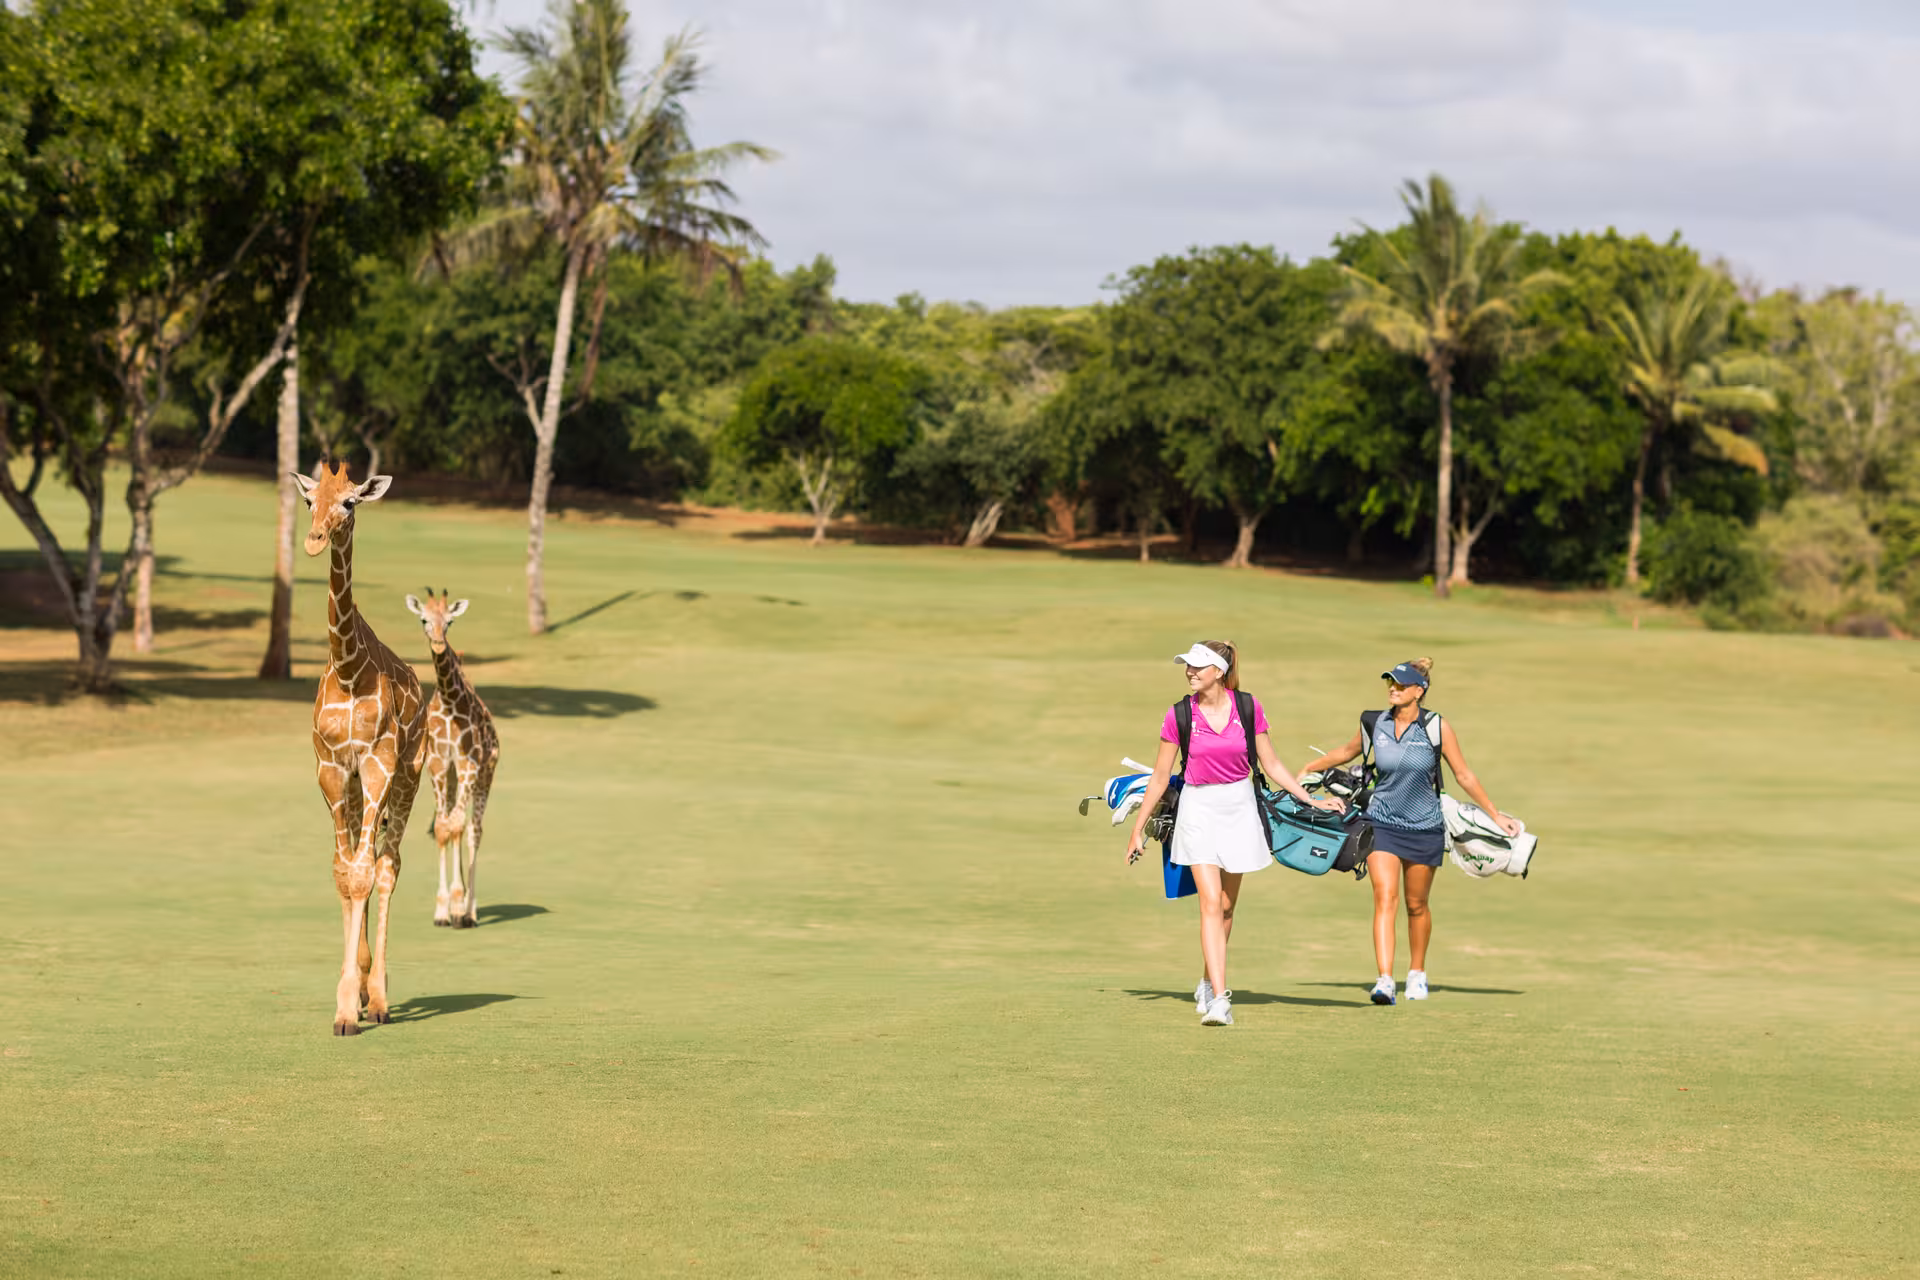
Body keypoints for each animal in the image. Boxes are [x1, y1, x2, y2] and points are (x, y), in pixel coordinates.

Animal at [404, 589, 501, 930]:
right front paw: (442, 911)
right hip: (452, 777)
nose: (437, 641)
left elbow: (459, 826)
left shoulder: (469, 763)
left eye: (450, 621)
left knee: (474, 830)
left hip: (485, 774)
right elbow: (443, 828)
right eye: (423, 619)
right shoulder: (437, 765)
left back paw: (469, 911)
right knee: (453, 824)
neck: (449, 701)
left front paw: (459, 908)